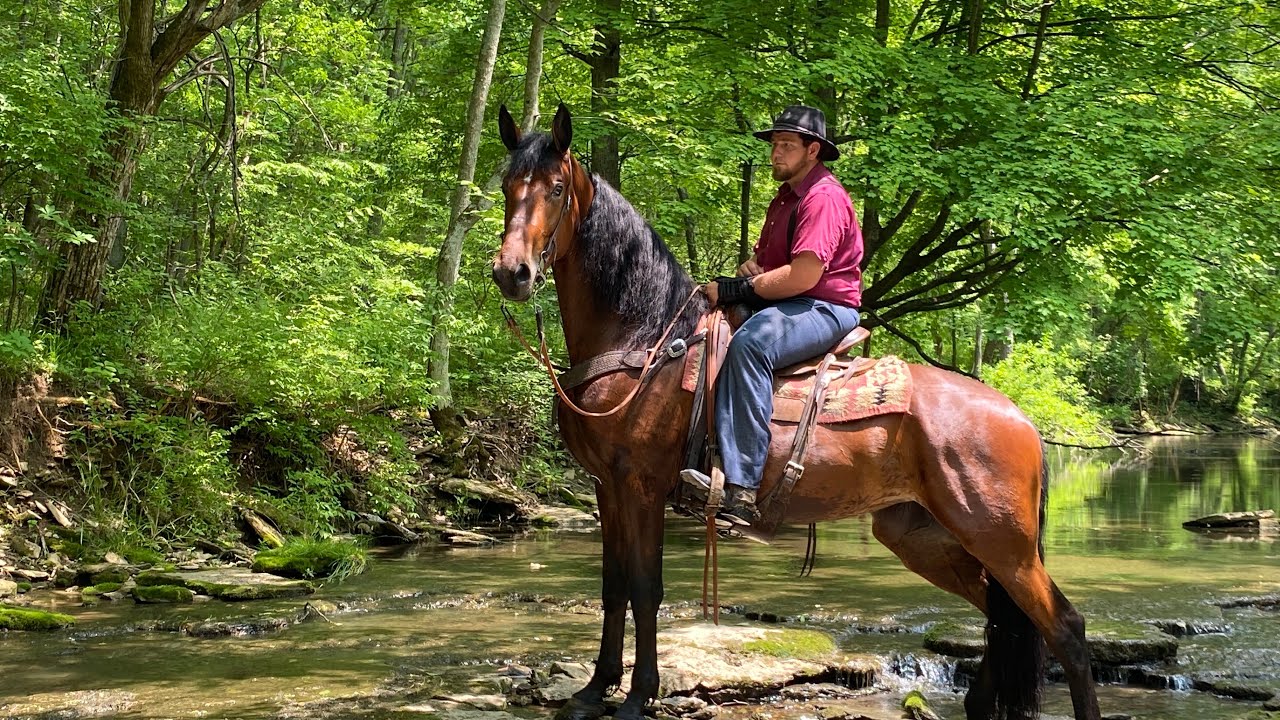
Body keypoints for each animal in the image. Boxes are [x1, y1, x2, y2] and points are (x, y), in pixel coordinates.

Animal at [490, 103, 1101, 720]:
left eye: (557, 187)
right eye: (507, 185)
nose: (511, 273)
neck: (645, 340)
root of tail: (1022, 419)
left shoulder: (640, 486)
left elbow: (645, 590)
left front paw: (638, 697)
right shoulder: (607, 488)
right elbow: (614, 588)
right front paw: (594, 691)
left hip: (1002, 543)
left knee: (1065, 629)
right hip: (928, 538)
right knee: (1003, 620)